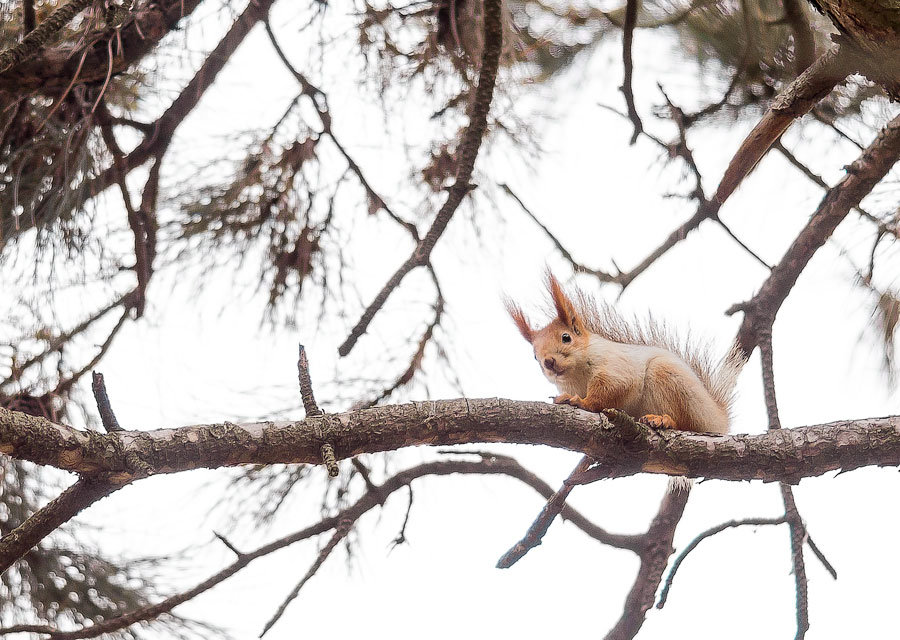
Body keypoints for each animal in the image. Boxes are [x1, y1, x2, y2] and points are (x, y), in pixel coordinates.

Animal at [506, 272, 744, 432]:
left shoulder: (616, 365)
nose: (548, 362)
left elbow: (613, 387)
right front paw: (564, 397)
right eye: (534, 355)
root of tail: (718, 420)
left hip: (670, 381)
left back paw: (663, 419)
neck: (577, 375)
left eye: (566, 338)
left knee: (686, 423)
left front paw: (582, 402)